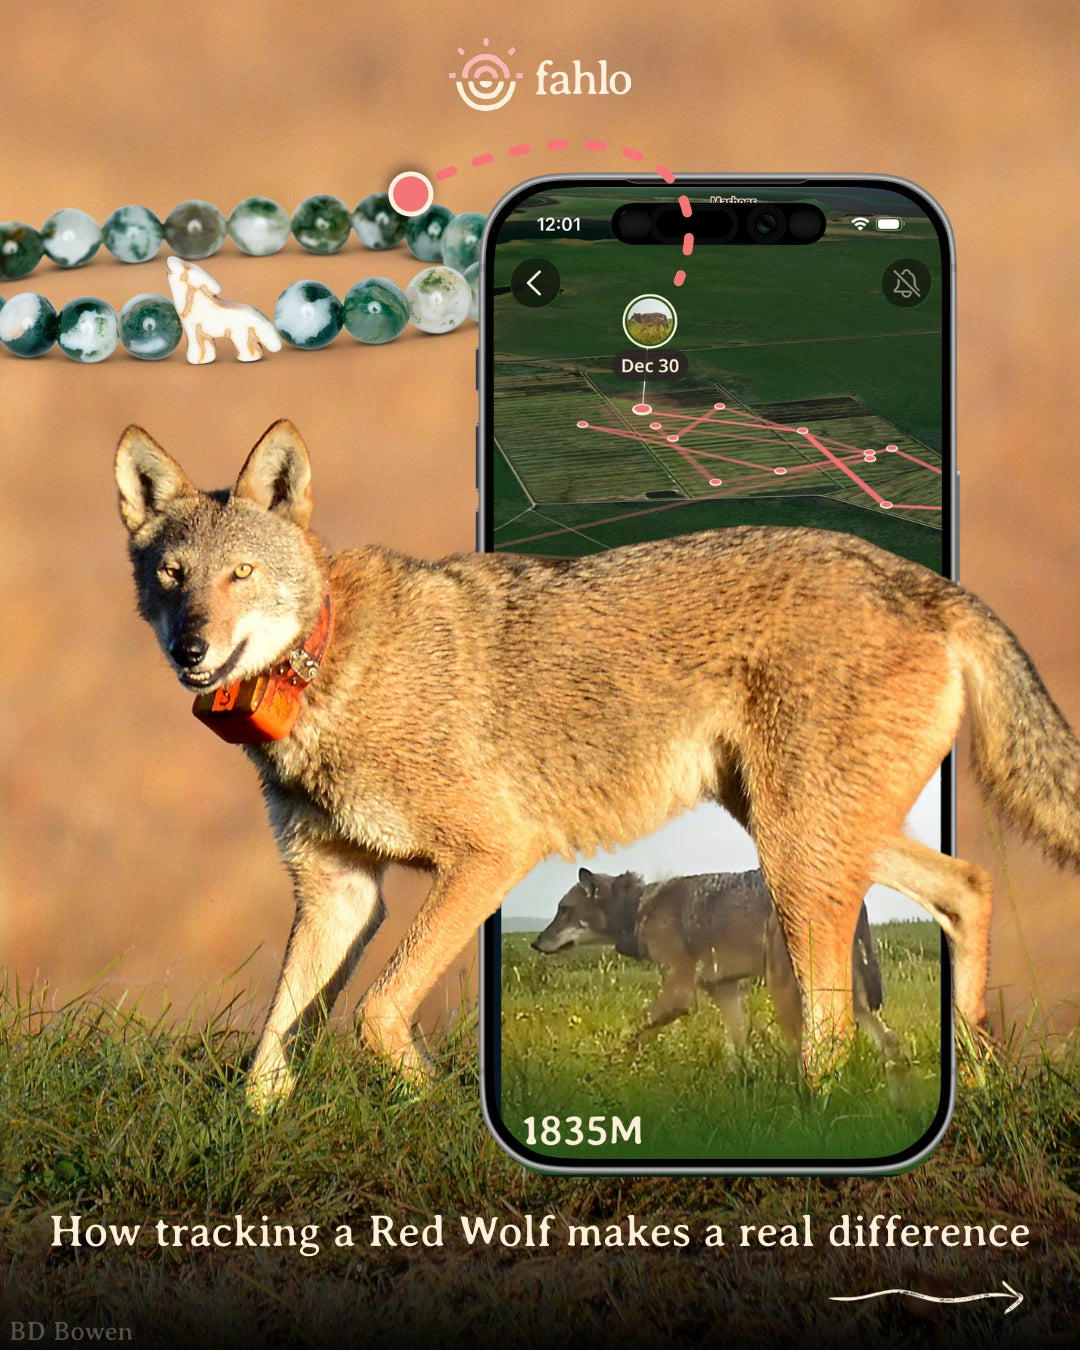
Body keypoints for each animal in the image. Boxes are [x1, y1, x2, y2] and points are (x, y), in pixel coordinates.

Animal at [532, 868, 901, 1060]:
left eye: (564, 910)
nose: (535, 943)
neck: (637, 908)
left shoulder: (681, 992)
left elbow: (635, 1031)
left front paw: (610, 1065)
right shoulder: (724, 990)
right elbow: (737, 1051)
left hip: (788, 991)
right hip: (847, 999)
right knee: (890, 1043)